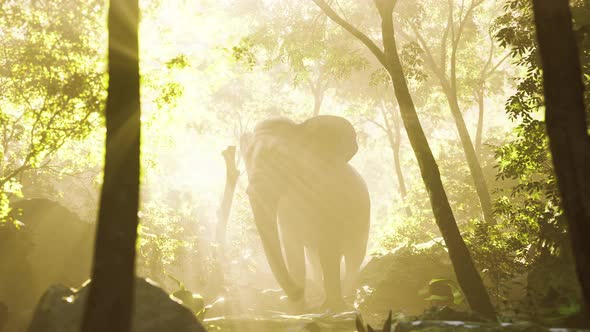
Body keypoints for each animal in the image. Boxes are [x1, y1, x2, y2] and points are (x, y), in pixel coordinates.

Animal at [239, 115, 370, 308]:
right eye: (247, 158)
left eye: (280, 157)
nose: (298, 293)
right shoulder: (287, 209)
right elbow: (292, 247)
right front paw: (301, 308)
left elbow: (329, 246)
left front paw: (332, 307)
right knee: (314, 257)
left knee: (354, 256)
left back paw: (347, 295)